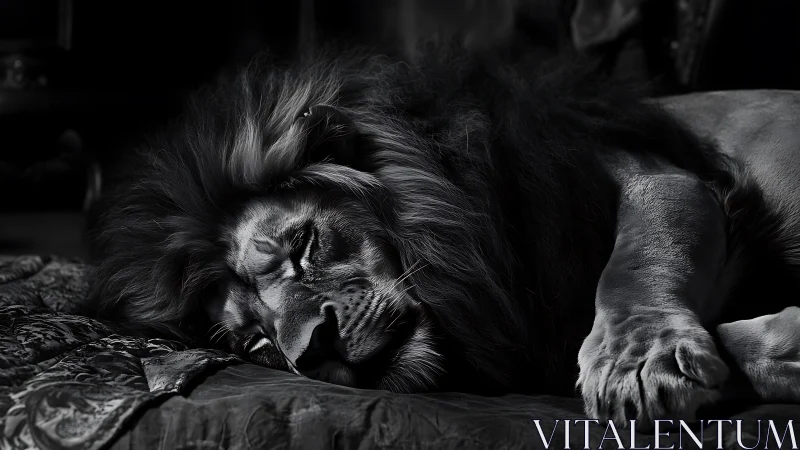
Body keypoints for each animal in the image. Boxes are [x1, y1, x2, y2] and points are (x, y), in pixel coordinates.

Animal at [85, 43, 800, 423]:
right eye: (254, 342)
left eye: (303, 247)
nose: (312, 352)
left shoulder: (657, 176)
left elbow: (635, 262)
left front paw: (638, 362)